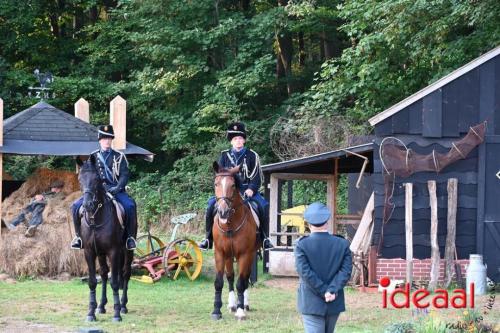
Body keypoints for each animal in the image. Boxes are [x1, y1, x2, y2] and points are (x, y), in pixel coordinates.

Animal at [78, 158, 134, 322]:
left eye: (97, 179)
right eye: (80, 179)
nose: (87, 205)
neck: (96, 218)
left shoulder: (113, 251)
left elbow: (114, 282)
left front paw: (116, 313)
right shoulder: (90, 252)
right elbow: (92, 281)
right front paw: (91, 312)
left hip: (127, 251)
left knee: (125, 273)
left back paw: (123, 306)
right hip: (101, 254)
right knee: (103, 274)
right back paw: (101, 306)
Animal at [210, 161, 260, 320]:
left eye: (233, 185)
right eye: (216, 184)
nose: (223, 212)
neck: (230, 224)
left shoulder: (245, 254)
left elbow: (241, 283)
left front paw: (240, 310)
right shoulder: (220, 253)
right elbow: (220, 282)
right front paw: (216, 310)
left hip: (251, 254)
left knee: (244, 278)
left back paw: (244, 304)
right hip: (229, 256)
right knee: (231, 277)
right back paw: (232, 304)